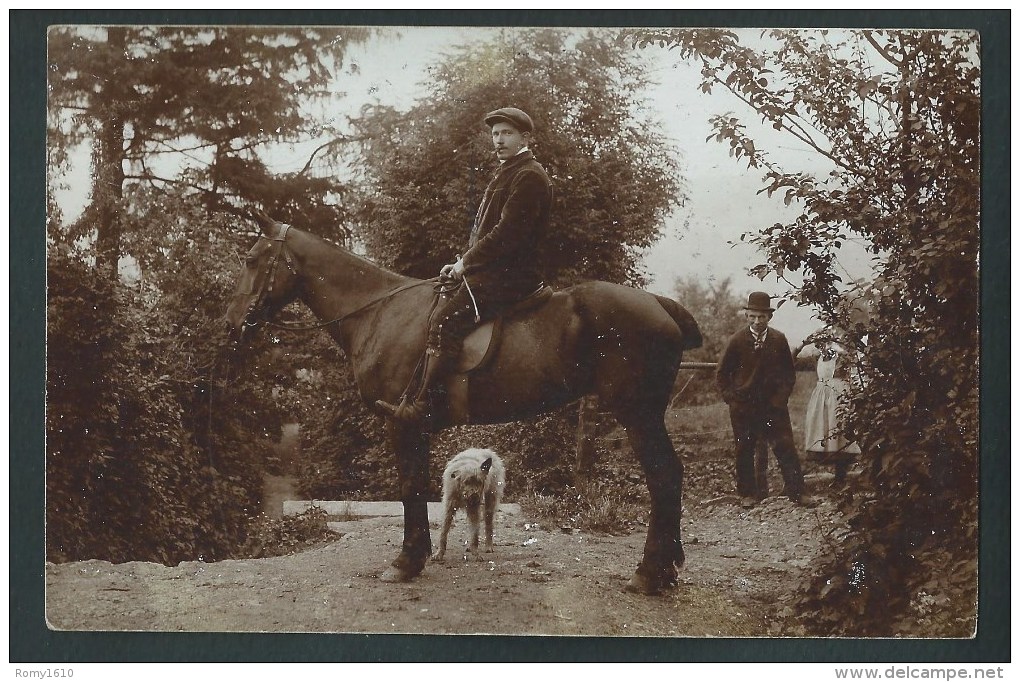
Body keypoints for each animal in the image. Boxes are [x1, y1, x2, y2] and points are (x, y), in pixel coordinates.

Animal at [222, 215, 701, 591]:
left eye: (251, 260)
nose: (231, 324)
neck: (379, 312)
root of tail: (659, 304)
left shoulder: (402, 424)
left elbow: (409, 488)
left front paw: (406, 562)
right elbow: (419, 489)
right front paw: (419, 556)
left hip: (637, 413)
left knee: (663, 476)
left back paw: (650, 573)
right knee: (670, 475)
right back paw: (667, 568)